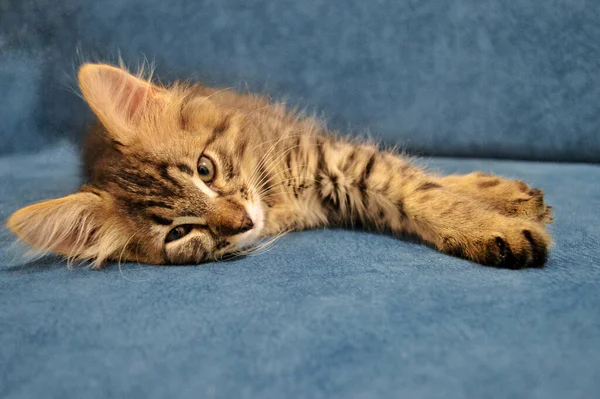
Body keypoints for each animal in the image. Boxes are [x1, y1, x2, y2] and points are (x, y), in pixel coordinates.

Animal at [8, 63, 552, 268]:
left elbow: (420, 189)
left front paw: (490, 222)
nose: (242, 222)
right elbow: (414, 190)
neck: (276, 196)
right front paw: (492, 226)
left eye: (204, 170)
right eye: (178, 233)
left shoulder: (337, 159)